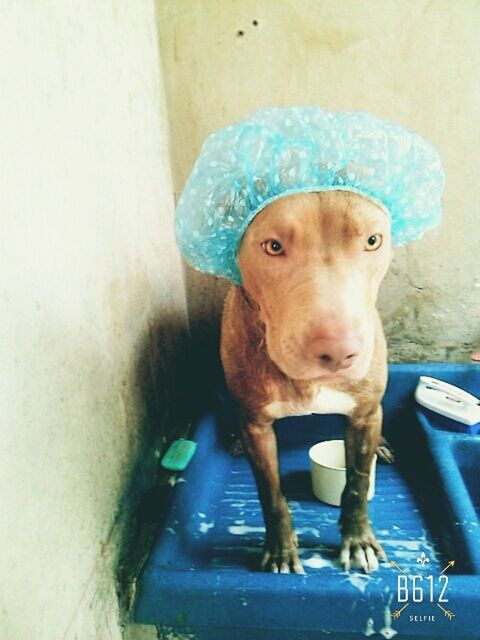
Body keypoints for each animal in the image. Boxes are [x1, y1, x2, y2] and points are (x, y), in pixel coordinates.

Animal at [221, 190, 394, 576]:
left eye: (372, 241)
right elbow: (270, 492)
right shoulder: (256, 424)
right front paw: (281, 550)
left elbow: (357, 482)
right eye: (273, 246)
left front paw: (358, 541)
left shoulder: (364, 415)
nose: (339, 351)